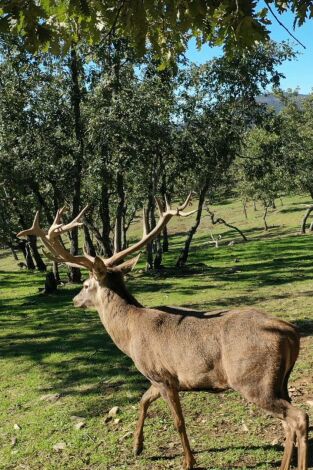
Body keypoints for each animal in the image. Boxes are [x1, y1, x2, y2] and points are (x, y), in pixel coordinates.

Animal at [18, 194, 308, 470]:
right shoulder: (158, 378)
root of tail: (291, 332)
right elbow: (143, 400)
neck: (129, 336)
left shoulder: (163, 375)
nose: (75, 300)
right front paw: (137, 447)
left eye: (87, 284)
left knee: (299, 417)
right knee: (289, 420)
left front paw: (188, 461)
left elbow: (179, 421)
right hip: (280, 381)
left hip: (252, 380)